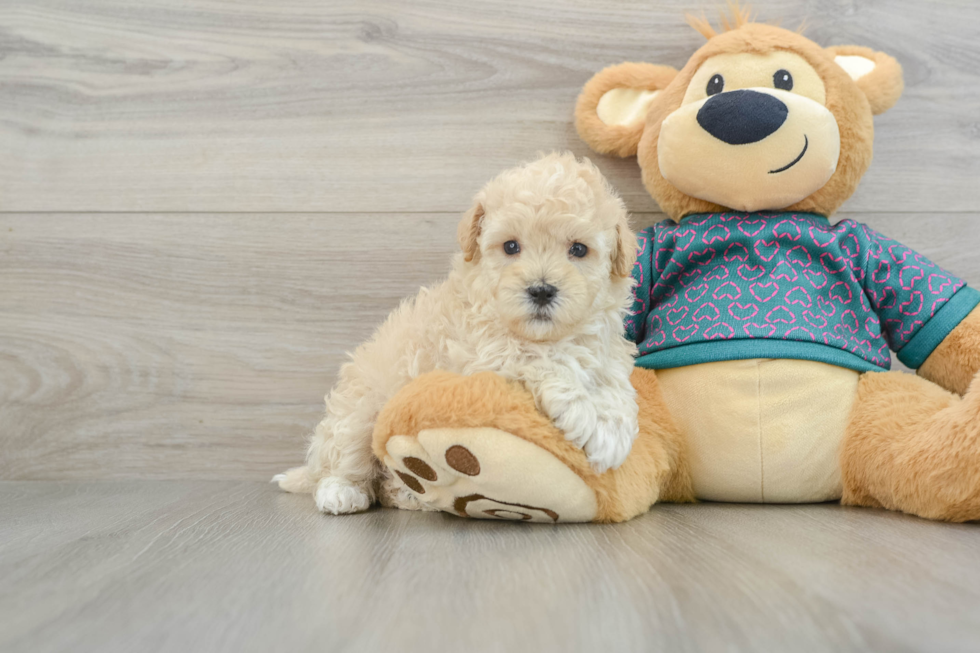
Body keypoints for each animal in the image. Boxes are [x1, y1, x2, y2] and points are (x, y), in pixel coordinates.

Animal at [276, 153, 644, 516]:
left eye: (578, 250)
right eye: (511, 246)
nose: (541, 290)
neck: (548, 335)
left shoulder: (605, 350)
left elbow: (615, 382)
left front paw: (614, 427)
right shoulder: (482, 359)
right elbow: (538, 360)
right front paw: (591, 420)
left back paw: (409, 493)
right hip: (359, 410)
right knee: (343, 458)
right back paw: (342, 491)